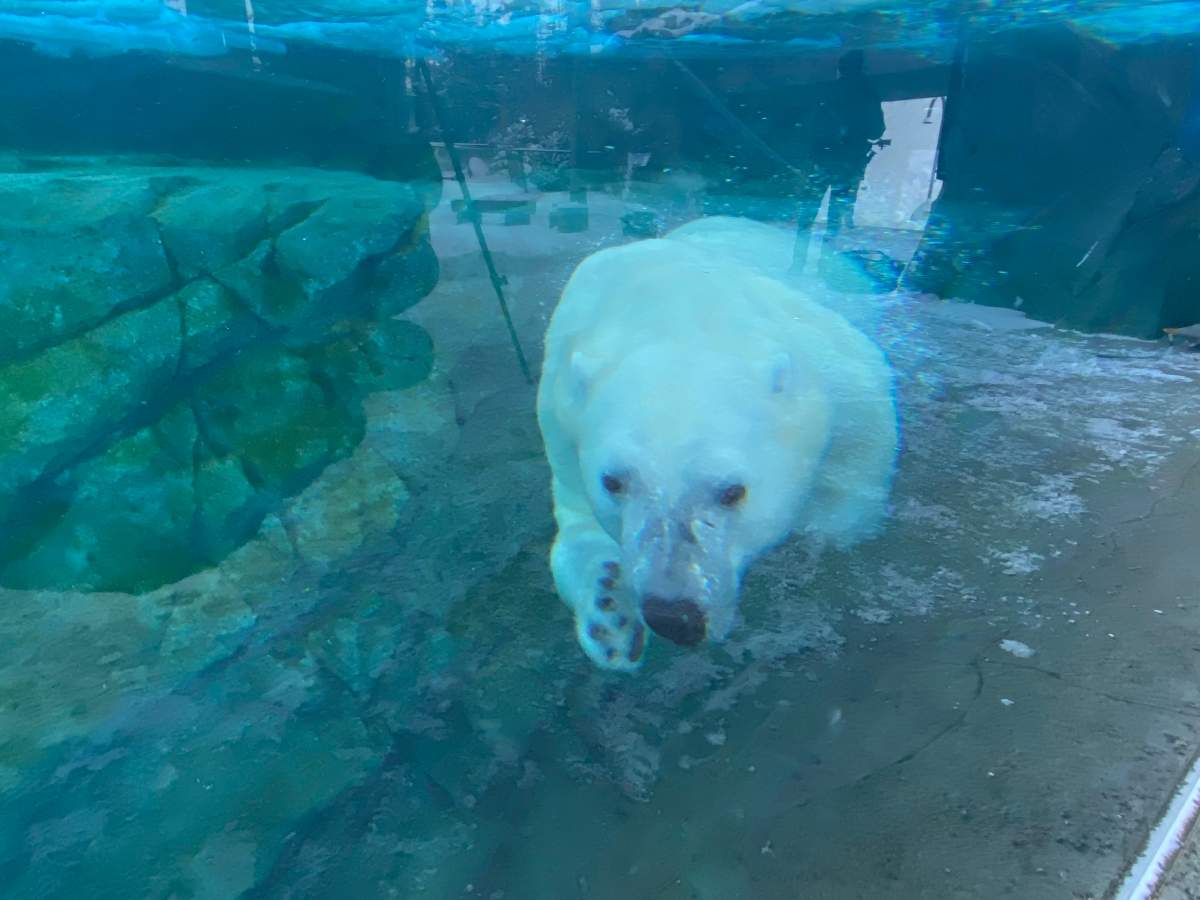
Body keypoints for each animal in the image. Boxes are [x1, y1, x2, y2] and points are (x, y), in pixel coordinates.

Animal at [536, 216, 898, 671]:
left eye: (732, 491)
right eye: (613, 482)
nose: (674, 616)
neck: (676, 311)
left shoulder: (831, 363)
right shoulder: (561, 412)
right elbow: (577, 521)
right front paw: (611, 618)